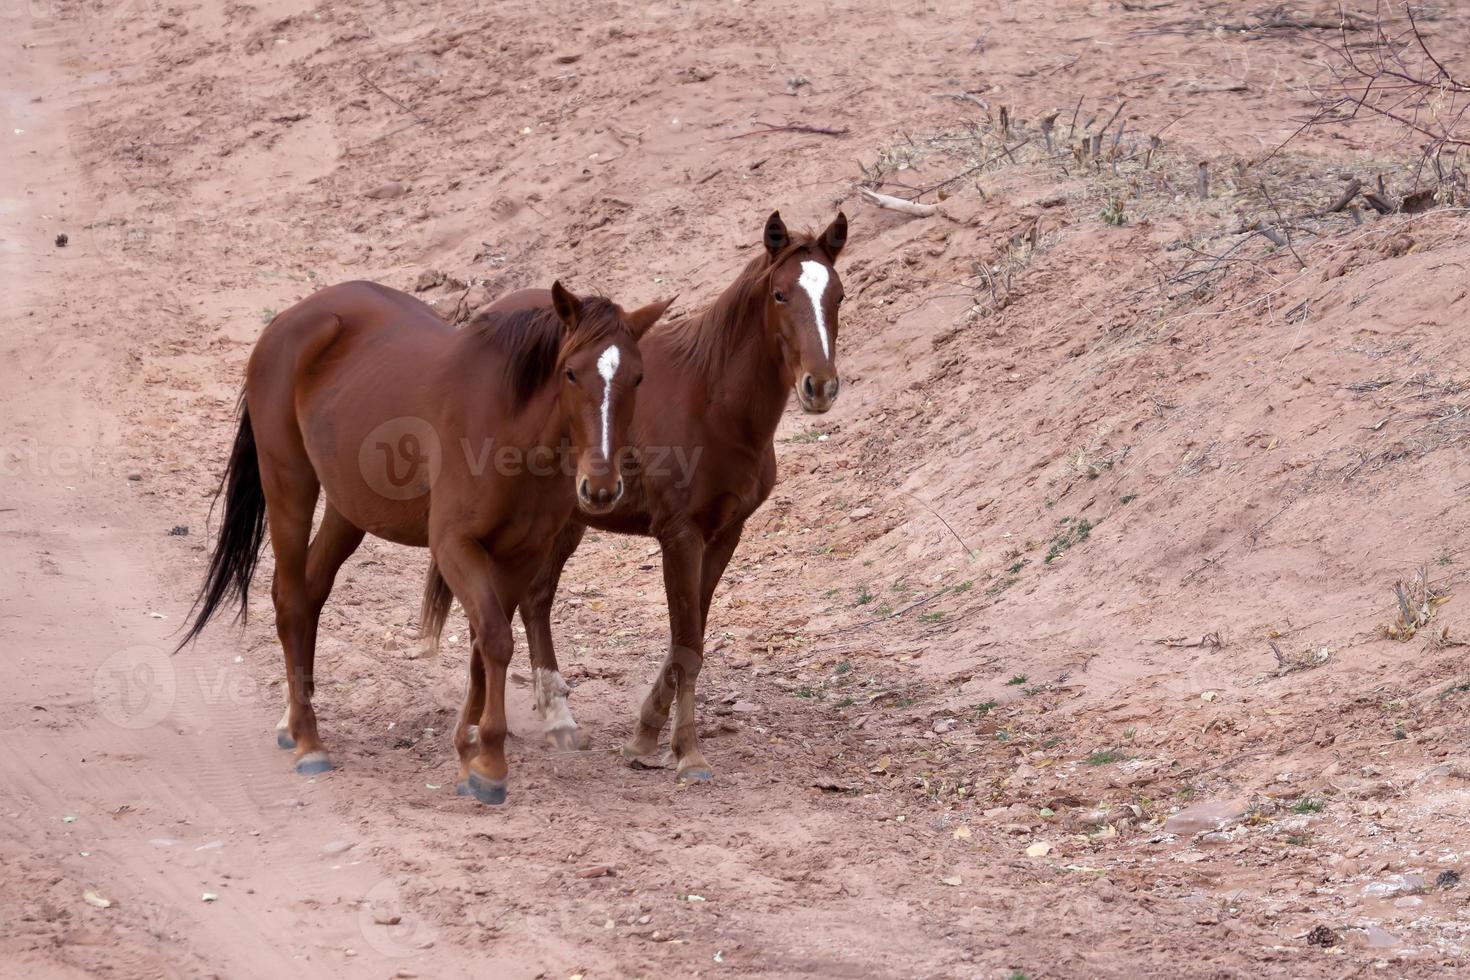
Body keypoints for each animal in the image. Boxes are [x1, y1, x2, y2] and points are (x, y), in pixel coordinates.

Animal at [176, 277, 673, 805]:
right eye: (571, 373)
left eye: (638, 378)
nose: (601, 487)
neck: (510, 426)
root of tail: (289, 321)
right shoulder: (455, 546)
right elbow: (495, 639)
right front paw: (489, 763)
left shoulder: (522, 554)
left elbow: (482, 645)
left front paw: (469, 747)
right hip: (289, 483)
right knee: (290, 598)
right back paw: (310, 741)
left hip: (348, 509)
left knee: (310, 593)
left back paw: (293, 721)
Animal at [420, 213, 846, 781]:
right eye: (780, 294)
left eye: (838, 295)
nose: (820, 386)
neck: (711, 399)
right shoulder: (680, 534)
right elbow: (688, 641)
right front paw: (687, 752)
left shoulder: (724, 534)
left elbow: (690, 636)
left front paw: (646, 736)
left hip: (565, 520)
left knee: (533, 600)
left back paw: (556, 719)